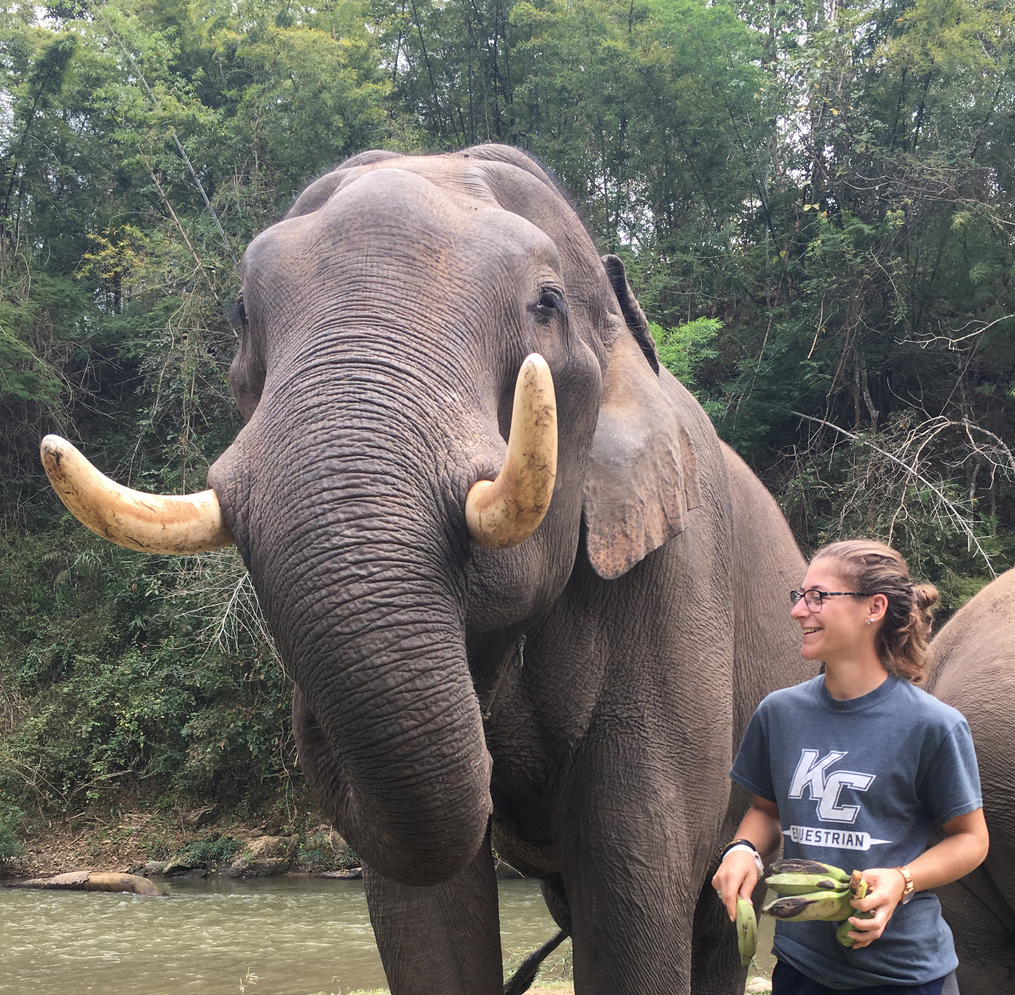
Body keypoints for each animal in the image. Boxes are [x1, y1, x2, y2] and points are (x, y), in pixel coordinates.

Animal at [45, 144, 807, 990]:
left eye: (546, 303)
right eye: (241, 314)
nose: (307, 719)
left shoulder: (677, 576)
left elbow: (634, 880)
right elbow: (422, 908)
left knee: (708, 917)